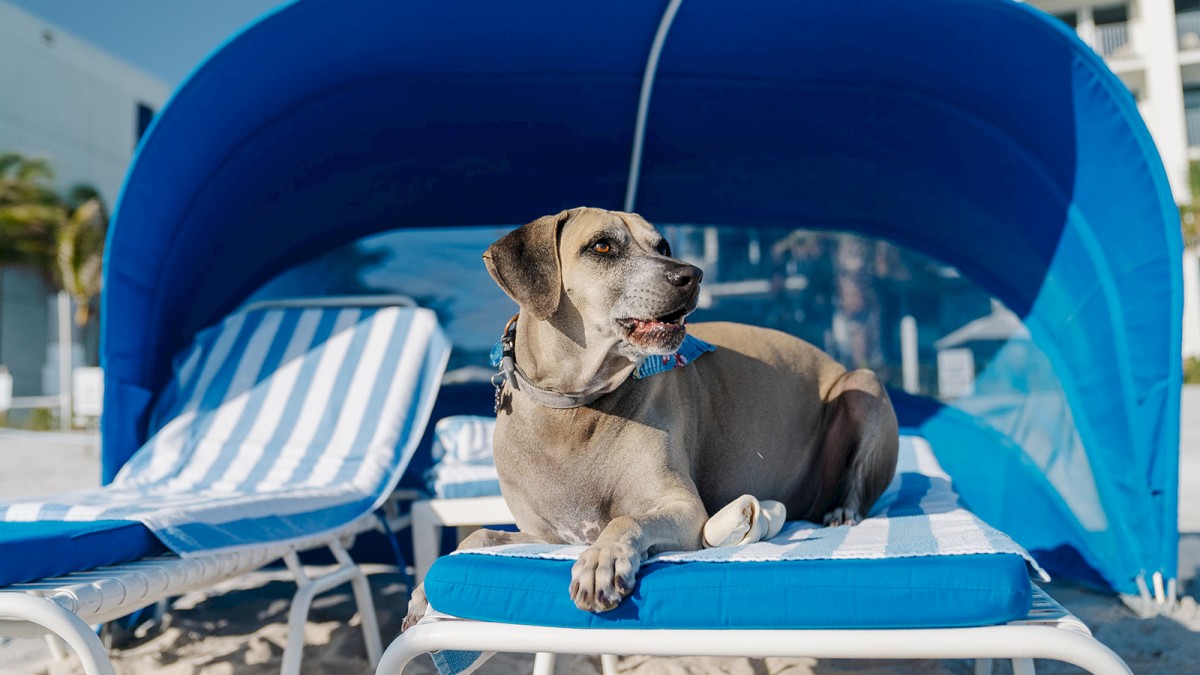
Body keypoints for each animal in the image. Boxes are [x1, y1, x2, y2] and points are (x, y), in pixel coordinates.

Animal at [405, 205, 902, 624]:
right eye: (602, 246)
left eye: (662, 246)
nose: (691, 273)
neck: (574, 409)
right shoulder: (546, 536)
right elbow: (478, 537)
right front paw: (422, 592)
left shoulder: (683, 509)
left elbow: (627, 519)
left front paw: (601, 562)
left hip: (863, 387)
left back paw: (843, 510)